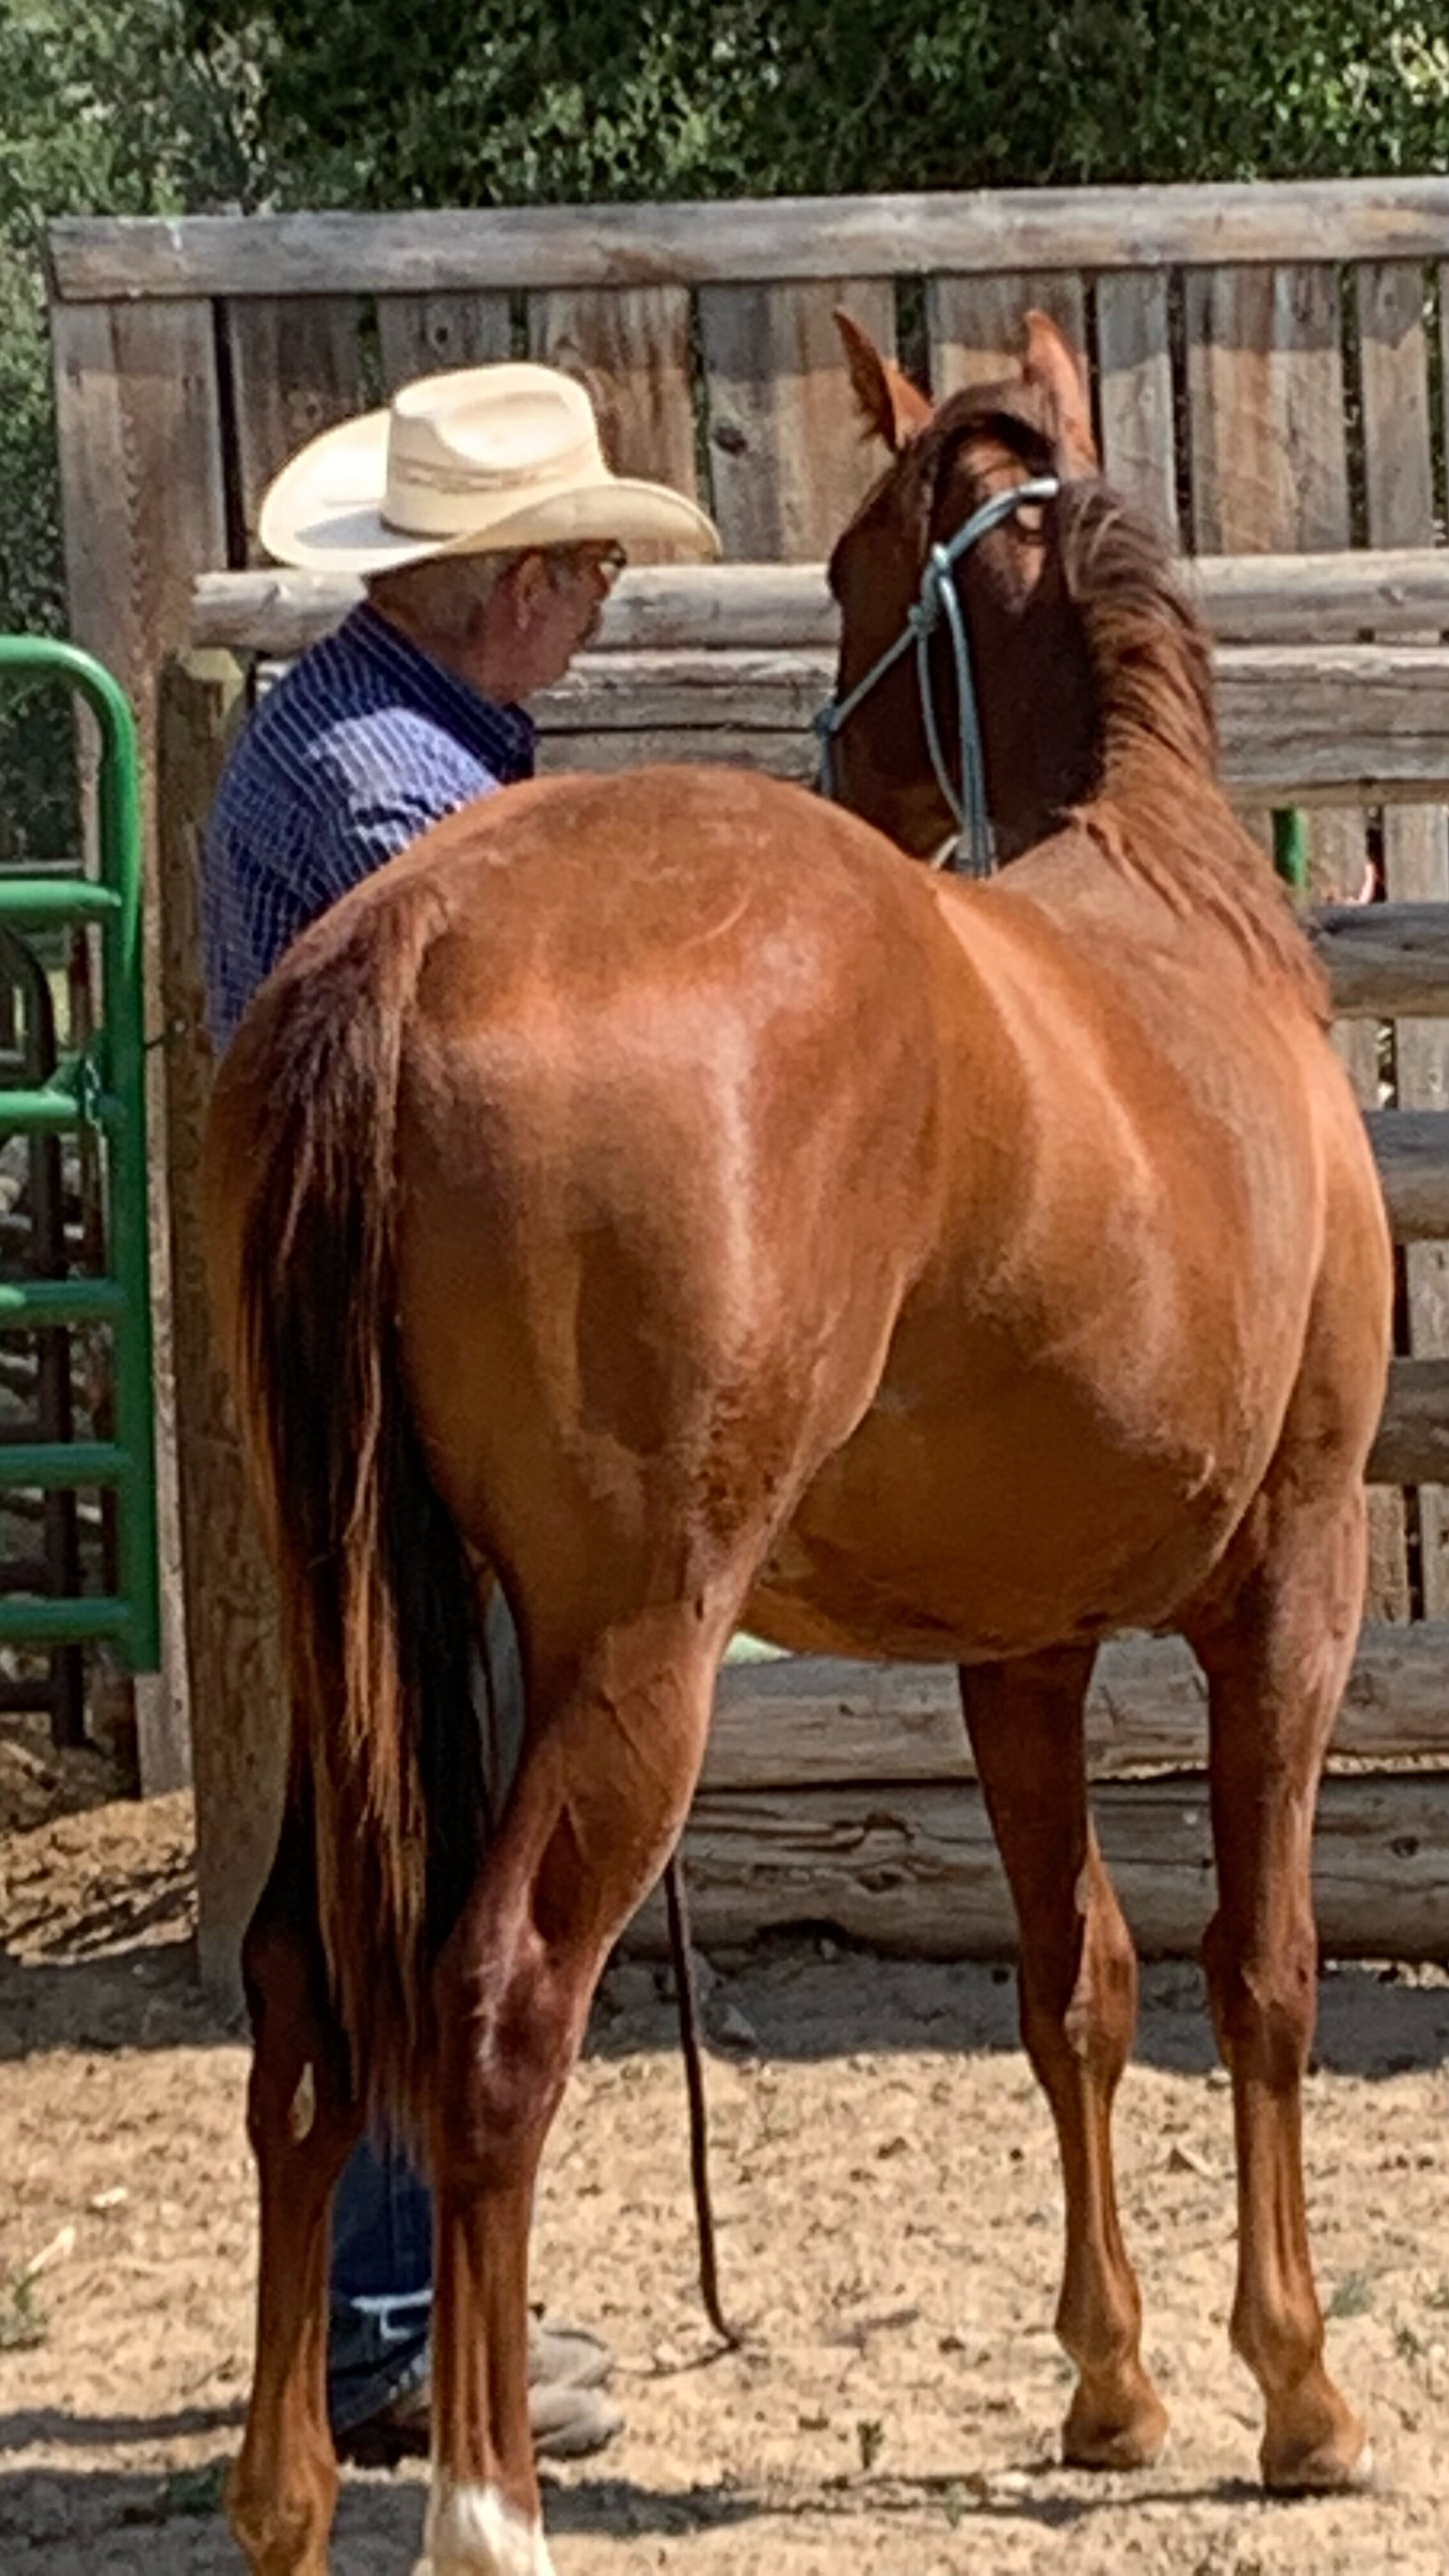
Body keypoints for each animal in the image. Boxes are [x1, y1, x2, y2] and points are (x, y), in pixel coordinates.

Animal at [206, 306, 1392, 2576]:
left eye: (848, 566)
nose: (852, 767)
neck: (1183, 921)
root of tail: (411, 937)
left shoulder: (1022, 1646)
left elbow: (1074, 1981)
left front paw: (1110, 2387)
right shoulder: (1295, 1579)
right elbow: (1264, 1973)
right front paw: (1299, 2392)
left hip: (347, 1640)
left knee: (307, 1985)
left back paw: (288, 2491)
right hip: (633, 1657)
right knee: (493, 2015)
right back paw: (483, 2503)